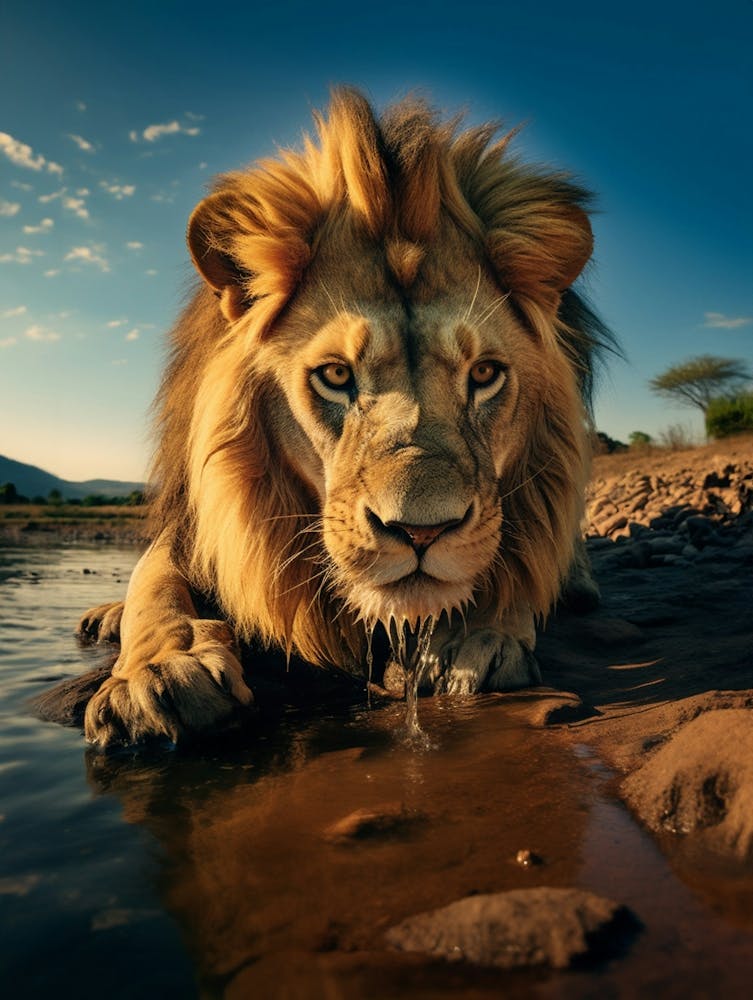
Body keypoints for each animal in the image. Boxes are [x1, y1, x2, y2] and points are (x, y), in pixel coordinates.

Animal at [80, 88, 609, 747]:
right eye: (335, 376)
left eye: (485, 374)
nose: (421, 533)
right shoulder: (191, 530)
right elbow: (154, 583)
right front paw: (159, 674)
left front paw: (480, 638)